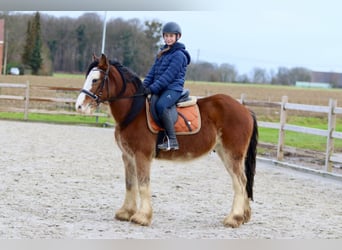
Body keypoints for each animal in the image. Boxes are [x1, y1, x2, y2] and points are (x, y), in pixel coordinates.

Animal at [75, 53, 256, 228]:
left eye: (95, 79)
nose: (79, 107)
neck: (133, 112)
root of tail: (245, 110)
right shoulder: (128, 156)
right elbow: (130, 183)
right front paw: (125, 213)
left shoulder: (142, 156)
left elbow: (143, 184)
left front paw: (142, 217)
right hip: (224, 153)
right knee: (243, 182)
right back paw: (243, 217)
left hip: (232, 154)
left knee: (240, 183)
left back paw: (234, 218)